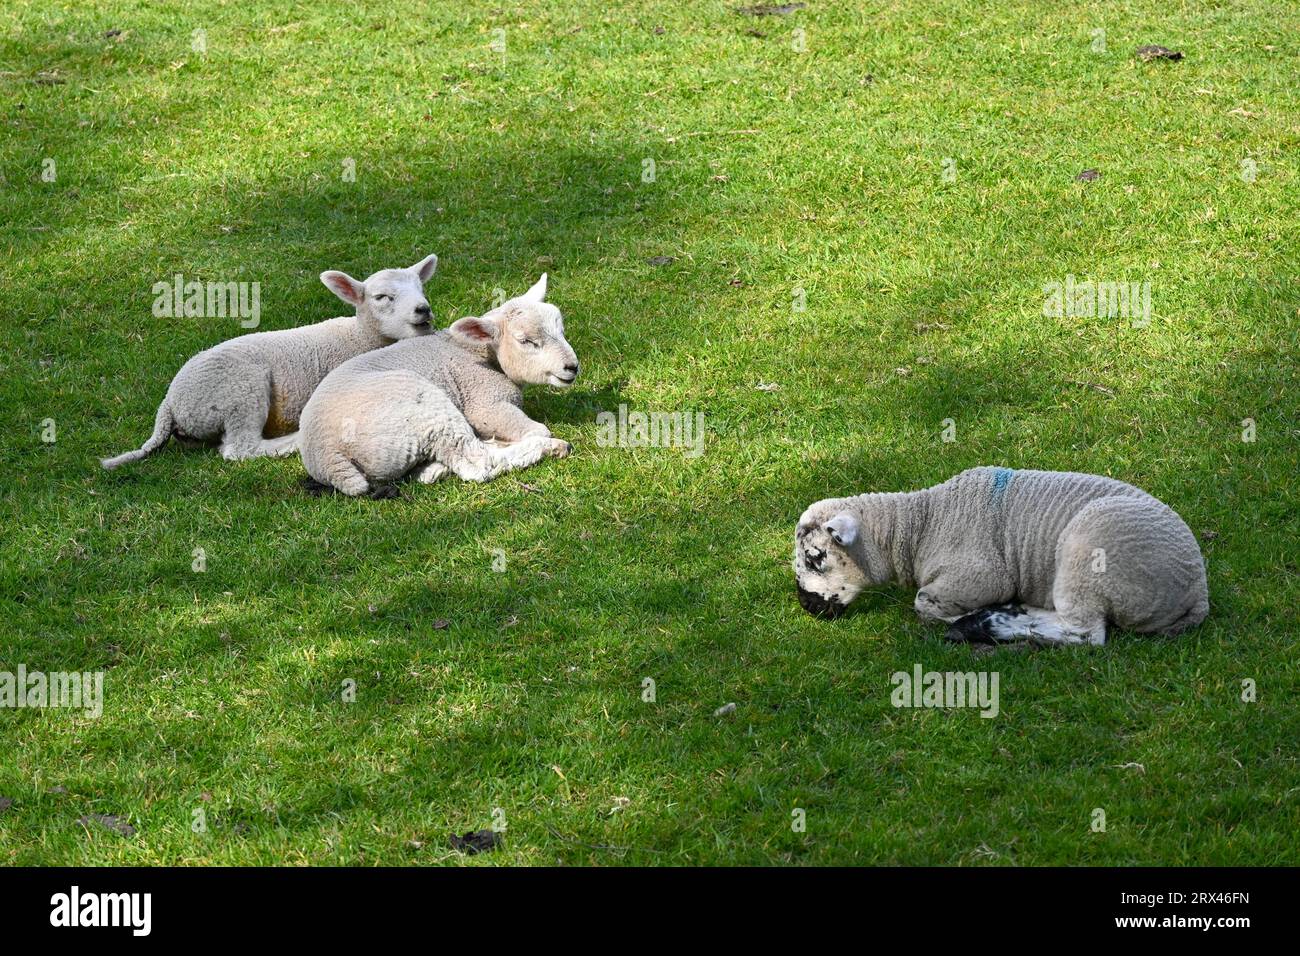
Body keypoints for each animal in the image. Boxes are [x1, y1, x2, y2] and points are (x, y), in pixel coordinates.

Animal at [97, 251, 441, 468]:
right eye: (382, 297)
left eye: (422, 289)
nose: (423, 310)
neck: (359, 337)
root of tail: (169, 404)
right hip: (239, 393)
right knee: (240, 448)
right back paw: (291, 440)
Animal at [299, 273, 579, 496]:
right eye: (525, 341)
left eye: (562, 330)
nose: (572, 367)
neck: (477, 351)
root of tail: (328, 455)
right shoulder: (484, 404)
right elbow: (538, 429)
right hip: (426, 408)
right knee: (476, 462)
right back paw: (550, 447)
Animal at [790, 468, 1206, 647]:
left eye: (814, 557)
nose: (807, 606)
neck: (920, 525)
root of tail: (1198, 593)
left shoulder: (981, 575)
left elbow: (924, 605)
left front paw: (967, 616)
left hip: (1089, 558)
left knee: (1087, 633)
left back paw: (986, 624)